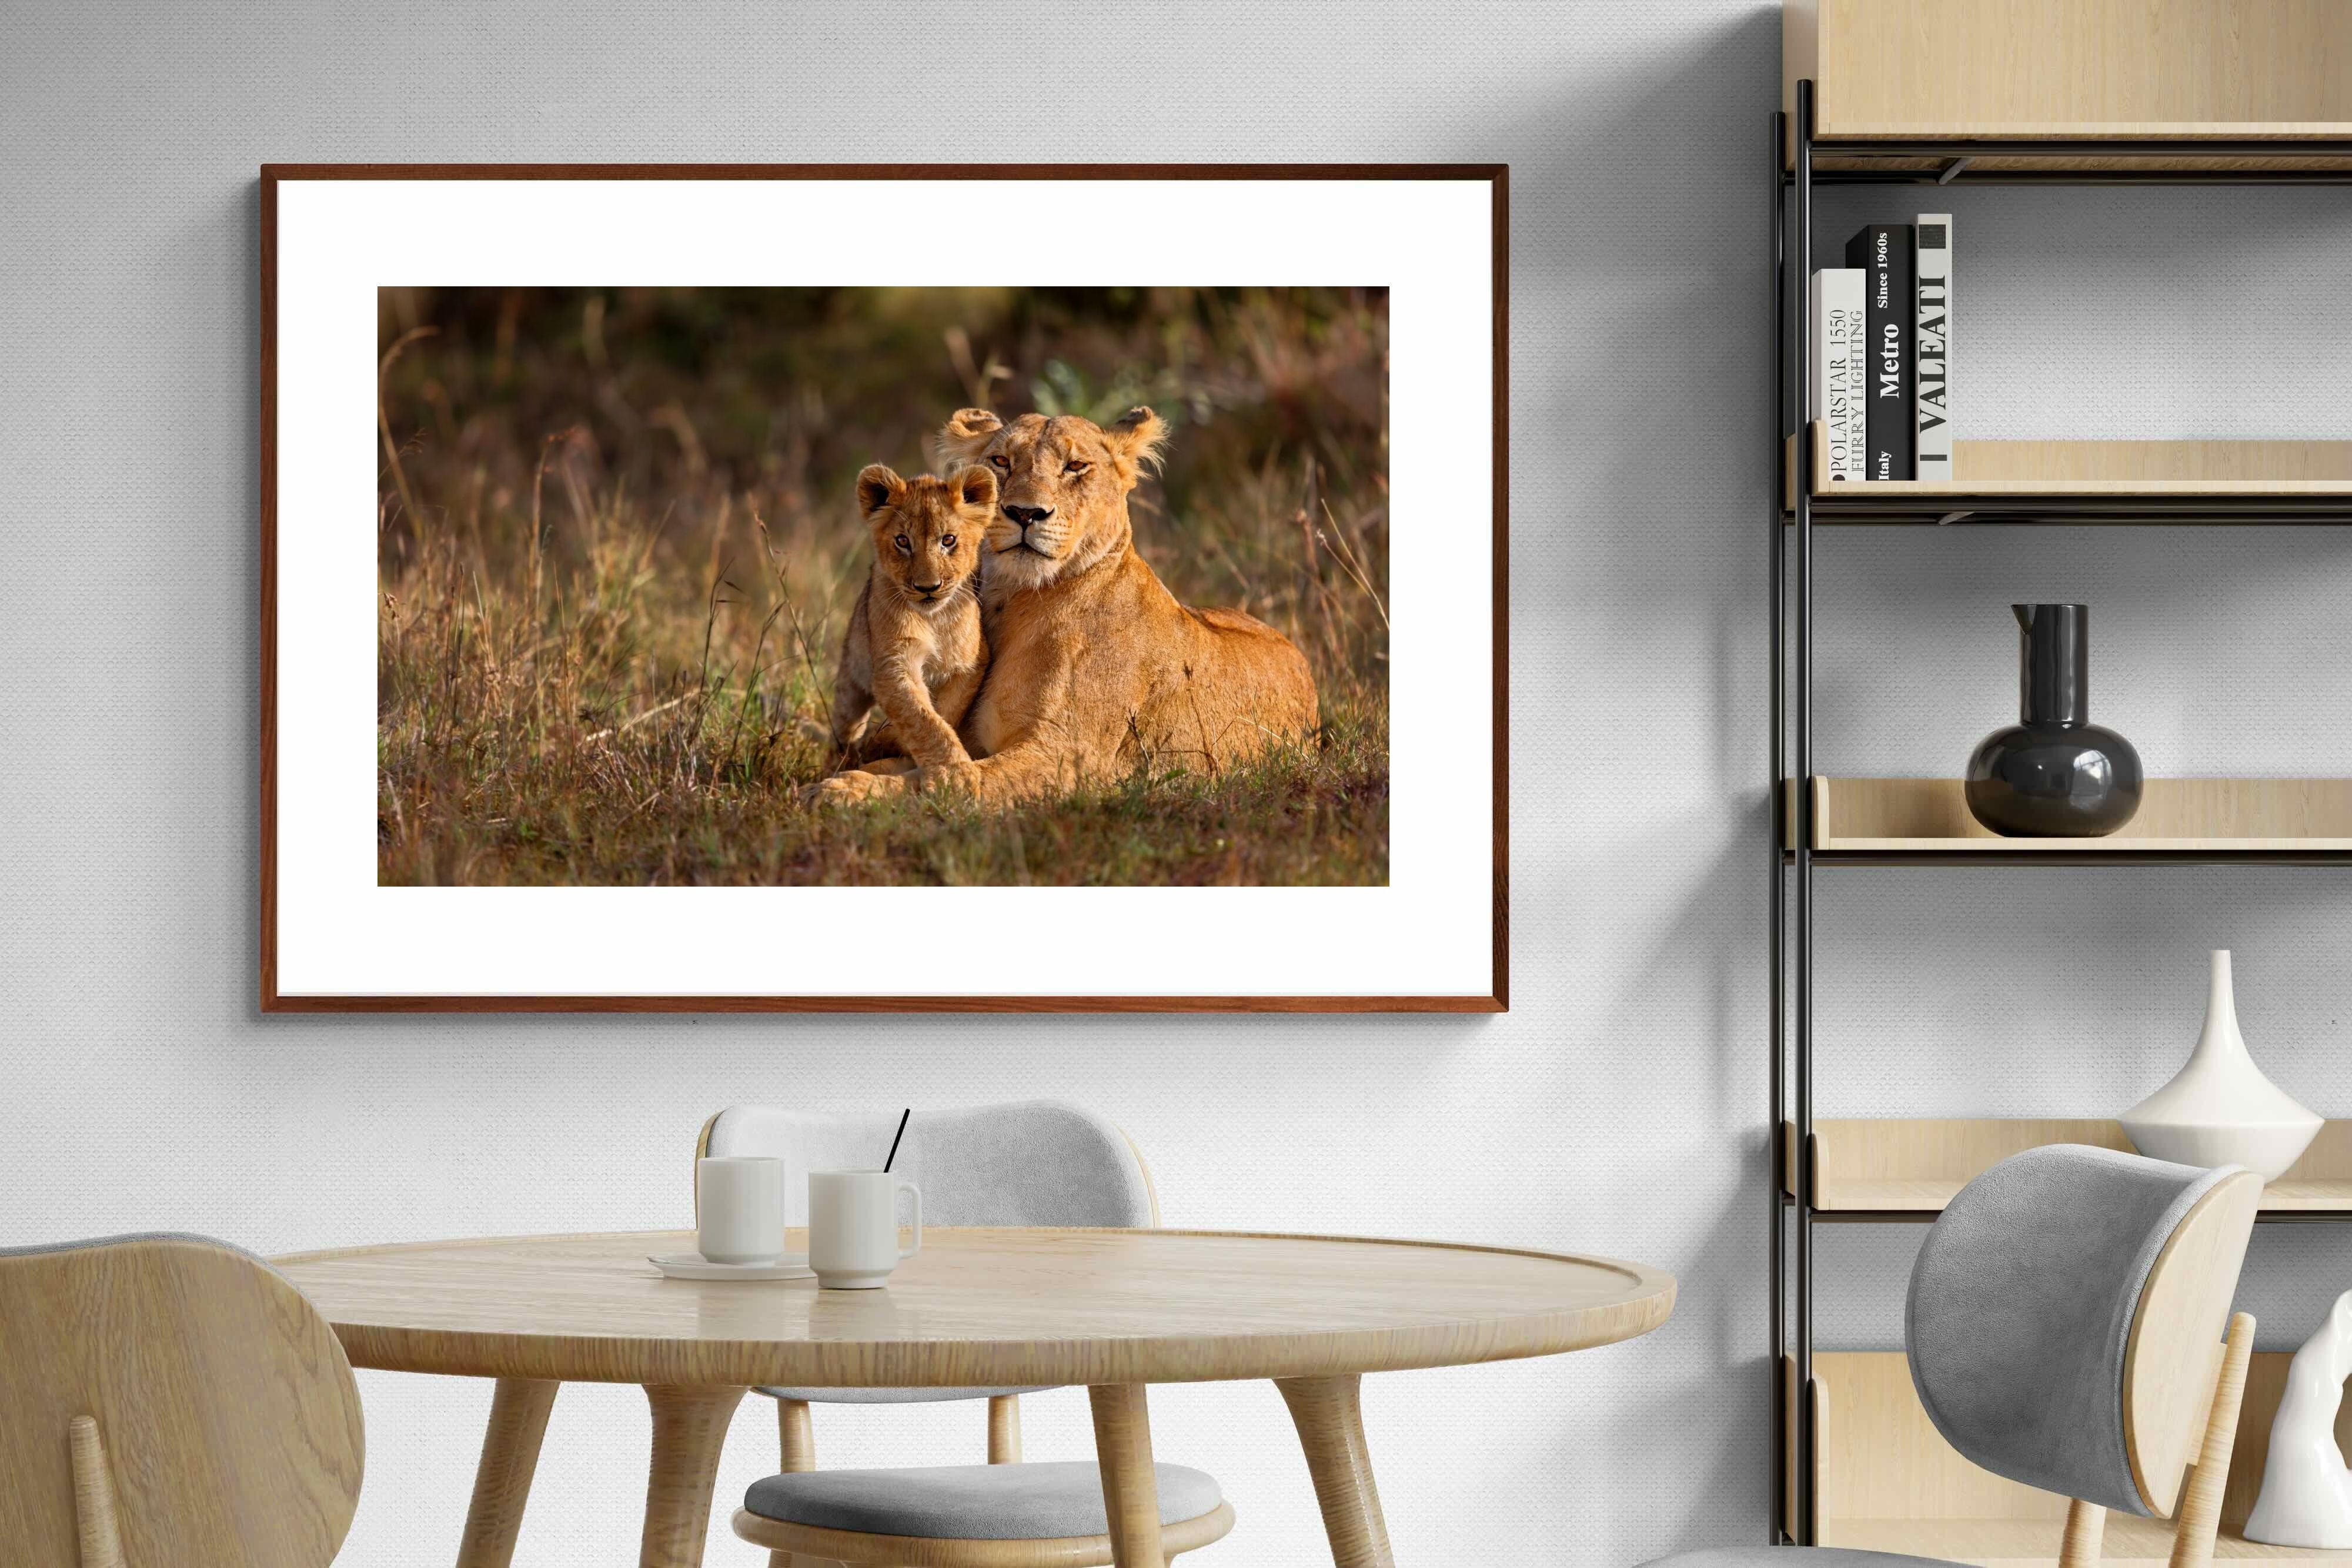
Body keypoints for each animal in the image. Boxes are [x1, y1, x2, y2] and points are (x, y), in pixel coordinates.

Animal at [827, 463, 994, 771]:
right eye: (903, 541)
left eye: (948, 540)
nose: (928, 587)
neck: (933, 620)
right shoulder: (894, 665)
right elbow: (922, 720)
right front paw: (955, 773)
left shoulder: (970, 664)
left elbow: (944, 714)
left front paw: (887, 741)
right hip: (850, 681)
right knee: (844, 730)